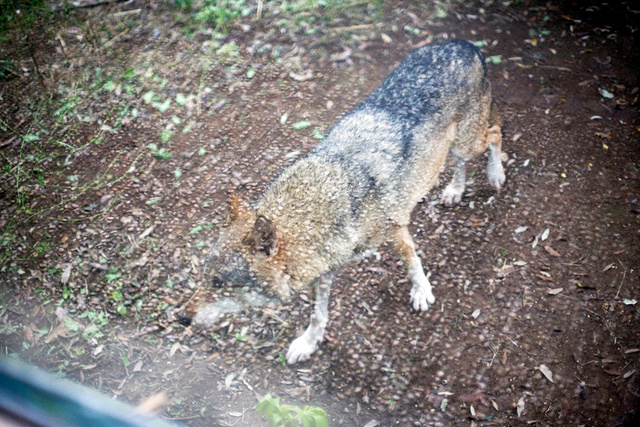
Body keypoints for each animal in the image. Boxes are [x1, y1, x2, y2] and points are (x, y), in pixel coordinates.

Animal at [179, 40, 505, 364]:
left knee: (495, 131)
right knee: (464, 159)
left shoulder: (395, 231)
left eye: (219, 283)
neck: (325, 209)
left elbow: (412, 262)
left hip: (468, 142)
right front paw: (309, 343)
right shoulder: (323, 274)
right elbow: (317, 315)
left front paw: (421, 291)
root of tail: (464, 44)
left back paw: (495, 172)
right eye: (203, 277)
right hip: (454, 146)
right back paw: (454, 189)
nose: (182, 318)